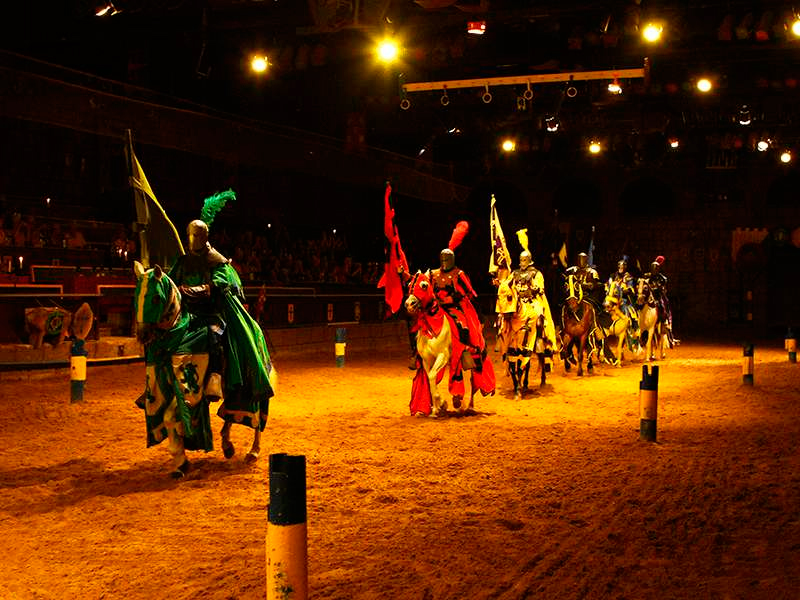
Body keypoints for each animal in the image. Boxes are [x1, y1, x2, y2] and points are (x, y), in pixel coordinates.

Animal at [133, 261, 264, 477]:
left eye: (155, 297)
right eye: (137, 296)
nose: (142, 335)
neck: (177, 335)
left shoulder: (189, 392)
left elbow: (169, 418)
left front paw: (181, 461)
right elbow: (168, 419)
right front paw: (181, 462)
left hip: (250, 389)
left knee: (256, 417)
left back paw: (253, 451)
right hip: (231, 389)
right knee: (230, 413)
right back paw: (227, 445)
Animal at [405, 271, 493, 416]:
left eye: (424, 285)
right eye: (409, 285)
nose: (409, 304)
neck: (433, 326)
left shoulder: (443, 356)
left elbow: (432, 375)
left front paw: (441, 404)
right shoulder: (426, 360)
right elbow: (430, 379)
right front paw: (437, 408)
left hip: (473, 358)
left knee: (473, 380)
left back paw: (468, 406)